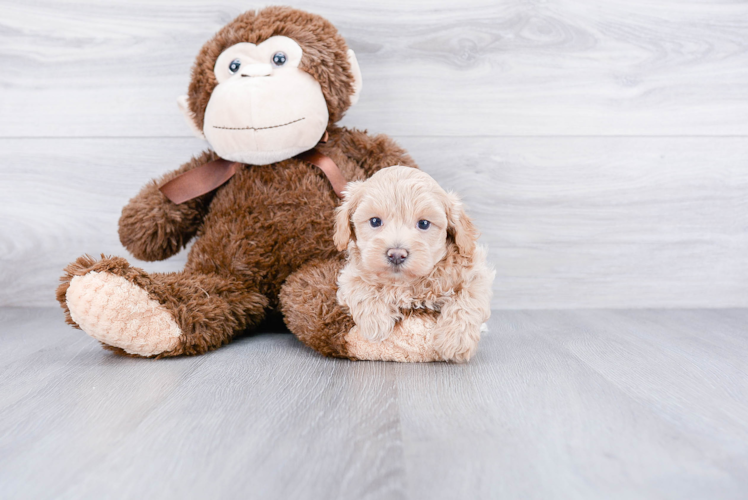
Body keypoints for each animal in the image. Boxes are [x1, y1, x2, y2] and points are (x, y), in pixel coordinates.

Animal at [336, 166, 494, 362]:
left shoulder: (475, 272)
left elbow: (468, 297)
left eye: (424, 224)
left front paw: (456, 341)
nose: (396, 254)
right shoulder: (349, 275)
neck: (405, 283)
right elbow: (358, 285)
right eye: (375, 221)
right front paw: (375, 322)